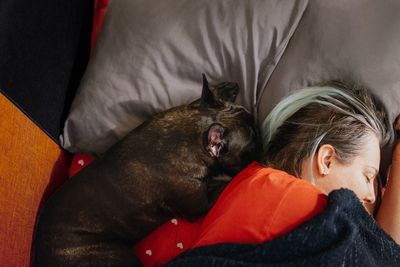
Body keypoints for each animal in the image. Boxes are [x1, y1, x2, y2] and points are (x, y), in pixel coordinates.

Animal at [32, 74, 258, 266]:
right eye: (251, 143)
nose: (261, 136)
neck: (190, 135)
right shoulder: (200, 206)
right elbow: (223, 185)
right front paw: (237, 174)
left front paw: (224, 89)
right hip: (117, 257)